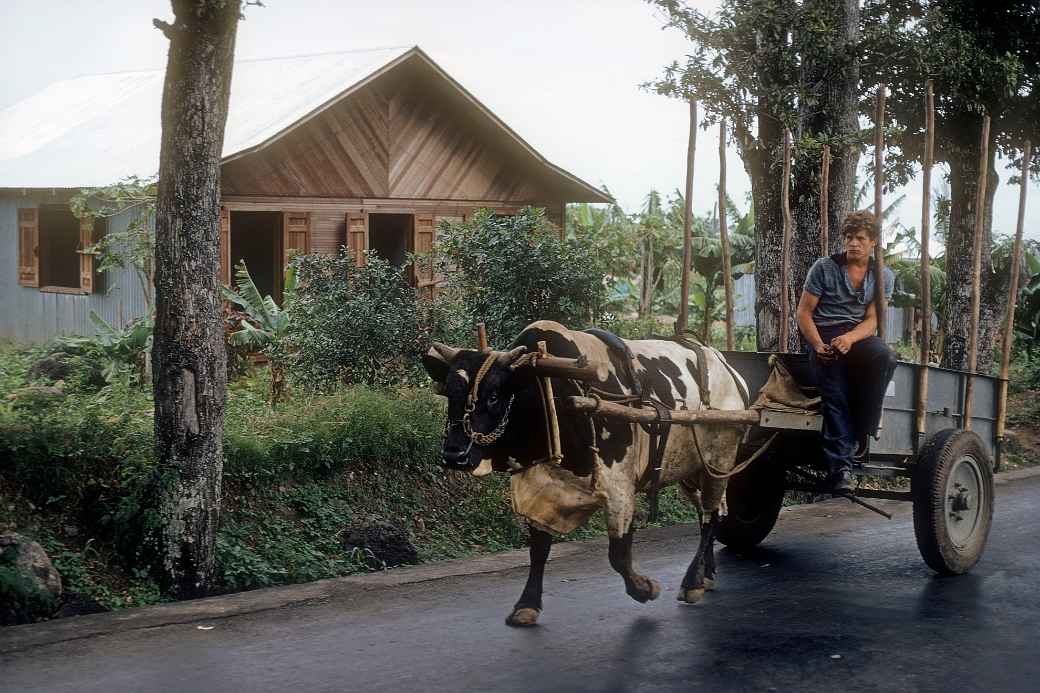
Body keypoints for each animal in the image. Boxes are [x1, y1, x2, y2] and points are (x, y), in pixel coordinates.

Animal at [422, 320, 757, 624]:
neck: (552, 391)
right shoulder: (541, 485)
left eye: (493, 396)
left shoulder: (619, 484)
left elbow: (618, 553)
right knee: (713, 512)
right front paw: (527, 604)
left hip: (721, 458)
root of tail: (727, 368)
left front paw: (643, 588)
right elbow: (539, 549)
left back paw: (693, 582)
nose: (454, 455)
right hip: (692, 469)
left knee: (710, 516)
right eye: (450, 394)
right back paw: (707, 573)